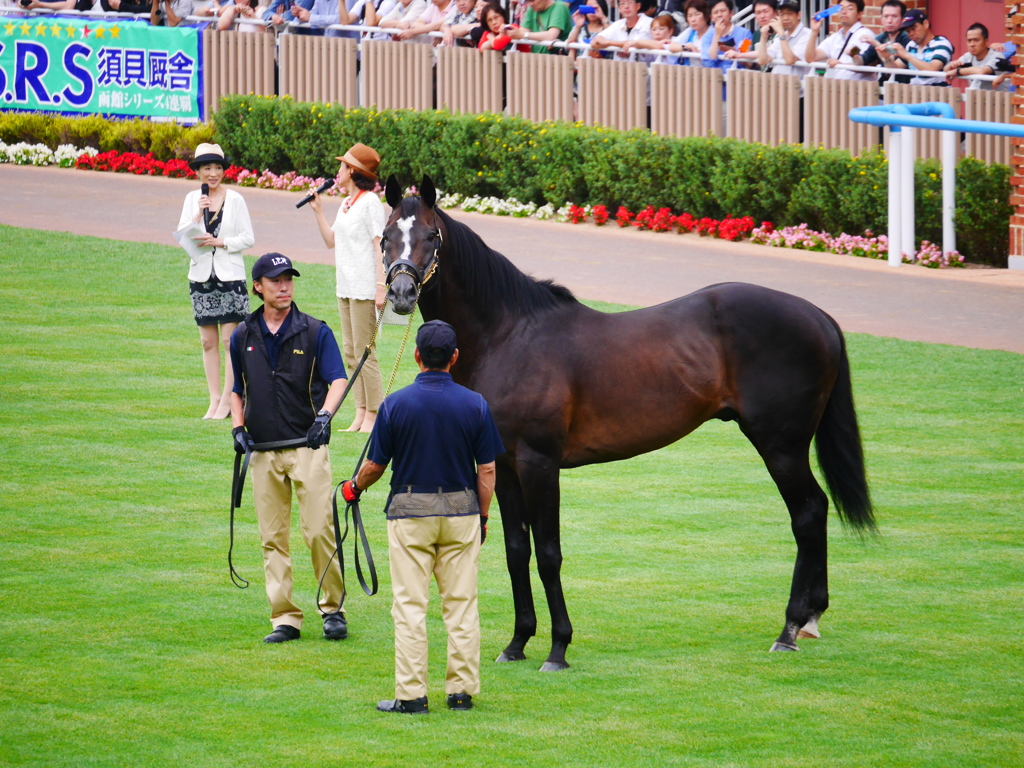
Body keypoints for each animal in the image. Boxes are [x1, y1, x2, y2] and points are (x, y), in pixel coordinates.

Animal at [380, 177, 876, 671]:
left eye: (431, 236)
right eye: (385, 236)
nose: (402, 294)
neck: (510, 336)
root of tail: (819, 316)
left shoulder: (540, 464)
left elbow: (548, 553)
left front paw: (558, 648)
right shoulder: (503, 466)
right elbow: (517, 552)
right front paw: (518, 642)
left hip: (781, 446)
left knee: (807, 514)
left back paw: (789, 628)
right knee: (818, 508)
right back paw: (811, 617)